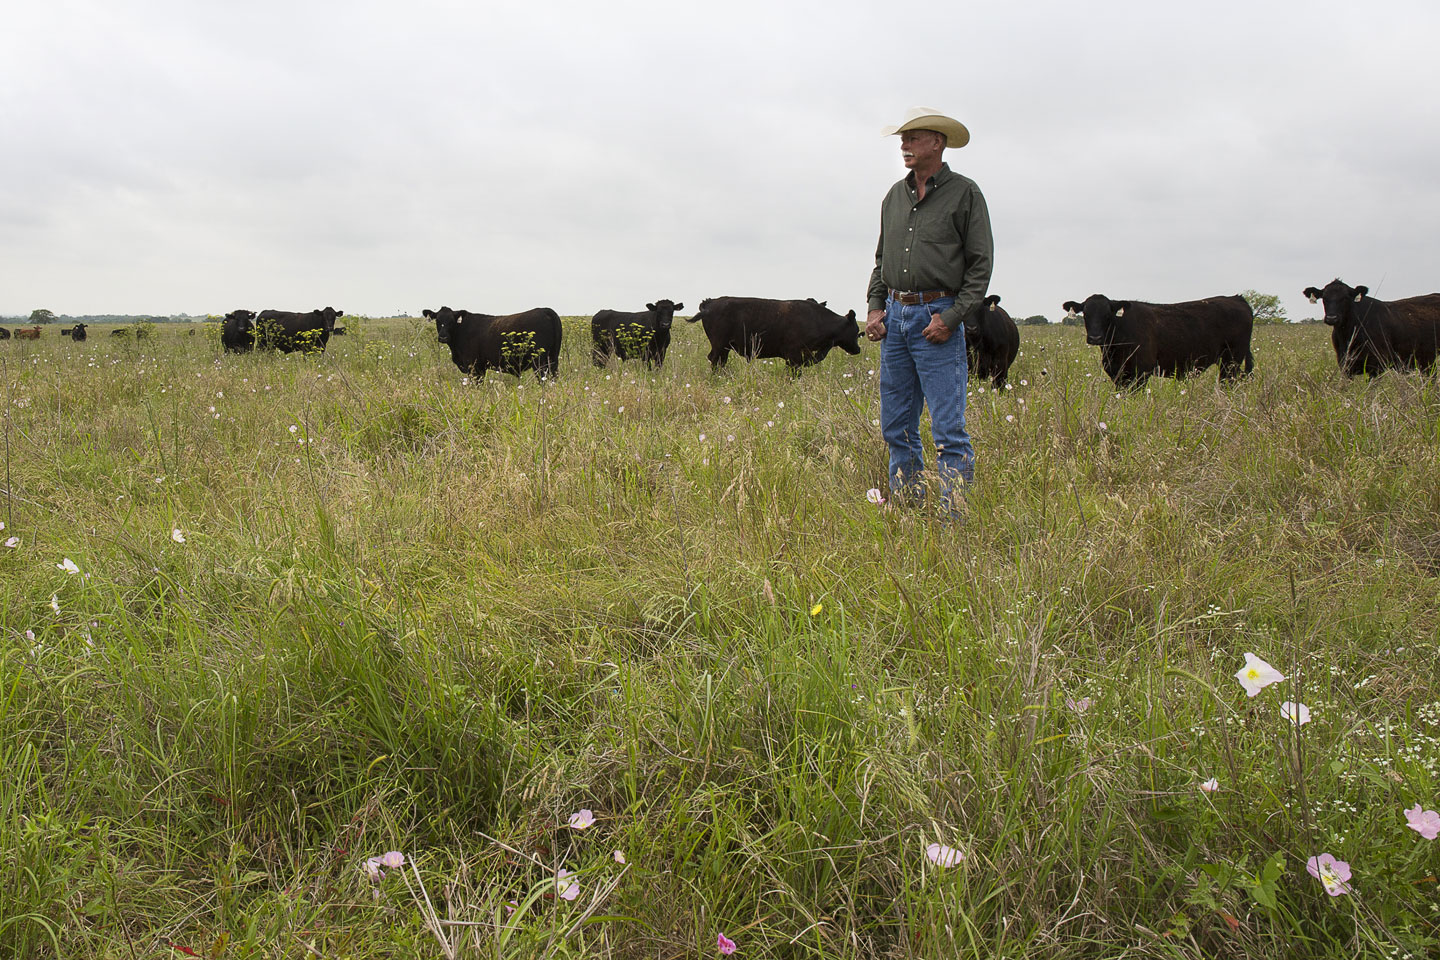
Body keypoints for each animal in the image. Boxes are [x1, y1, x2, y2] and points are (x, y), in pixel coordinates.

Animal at [420, 309, 561, 379]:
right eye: (437, 320)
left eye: (451, 321)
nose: (443, 337)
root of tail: (545, 310)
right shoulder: (481, 367)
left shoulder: (473, 365)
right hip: (553, 360)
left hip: (540, 362)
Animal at [1059, 293, 1249, 385]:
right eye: (1085, 314)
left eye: (1108, 314)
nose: (1095, 337)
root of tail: (1237, 298)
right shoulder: (1117, 374)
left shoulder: (1141, 372)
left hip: (1231, 362)